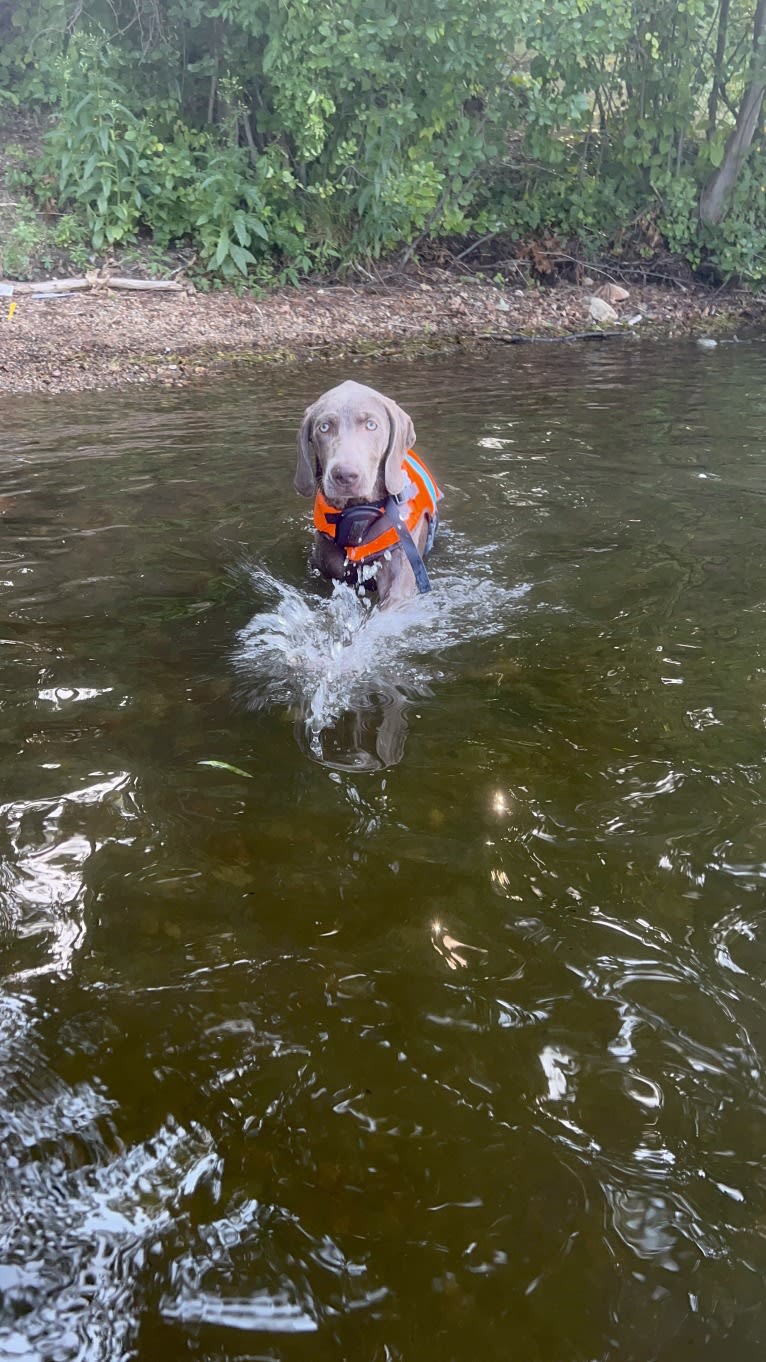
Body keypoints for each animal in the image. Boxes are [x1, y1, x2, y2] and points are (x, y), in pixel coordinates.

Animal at [293, 375, 441, 604]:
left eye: (371, 425)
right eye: (324, 427)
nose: (345, 475)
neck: (357, 515)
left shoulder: (400, 580)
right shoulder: (322, 568)